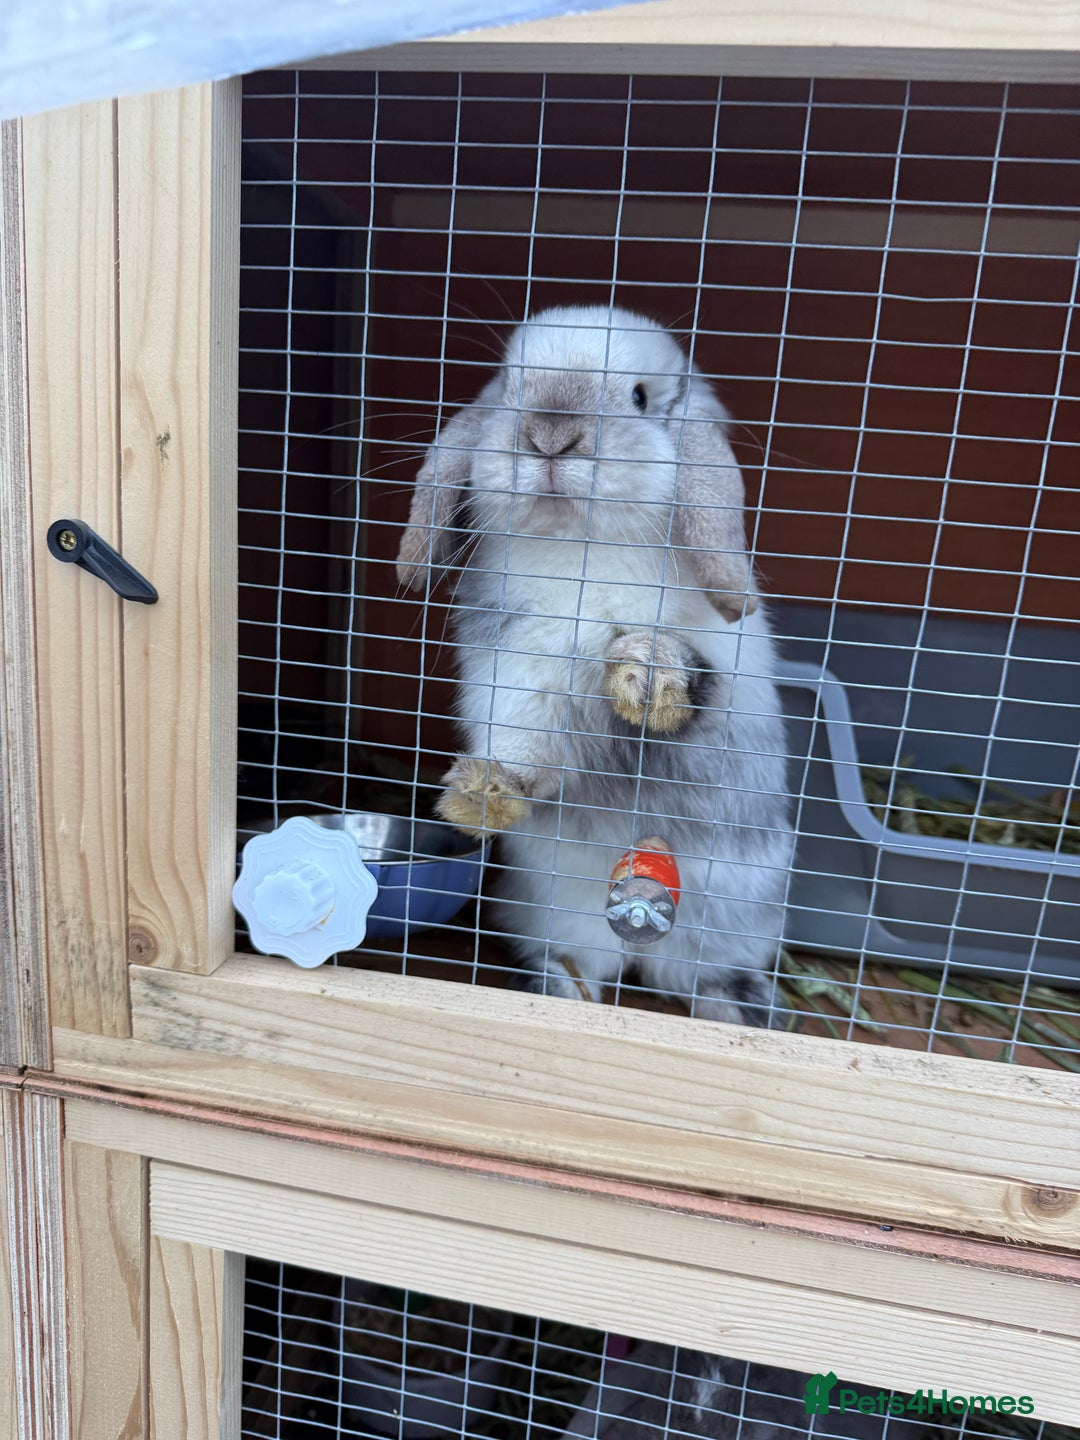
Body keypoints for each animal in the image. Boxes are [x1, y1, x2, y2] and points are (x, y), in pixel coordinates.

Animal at [396, 305, 793, 1026]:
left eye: (638, 397)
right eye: (513, 386)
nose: (551, 437)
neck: (581, 550)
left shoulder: (719, 675)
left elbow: (688, 687)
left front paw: (647, 676)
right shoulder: (523, 675)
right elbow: (531, 757)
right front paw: (480, 795)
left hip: (737, 917)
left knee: (703, 976)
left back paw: (747, 1008)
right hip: (554, 908)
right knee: (582, 962)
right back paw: (558, 989)